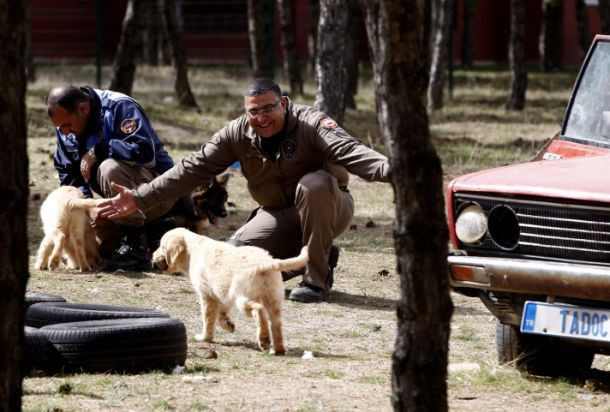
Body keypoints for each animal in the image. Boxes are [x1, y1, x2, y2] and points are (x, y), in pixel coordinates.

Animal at [150, 227, 306, 356]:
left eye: (161, 246)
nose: (152, 256)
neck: (192, 250)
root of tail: (266, 263)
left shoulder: (207, 295)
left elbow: (208, 320)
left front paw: (204, 338)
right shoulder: (221, 295)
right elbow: (220, 315)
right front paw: (228, 325)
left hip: (242, 298)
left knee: (258, 309)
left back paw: (264, 339)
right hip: (273, 301)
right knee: (276, 325)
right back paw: (277, 349)